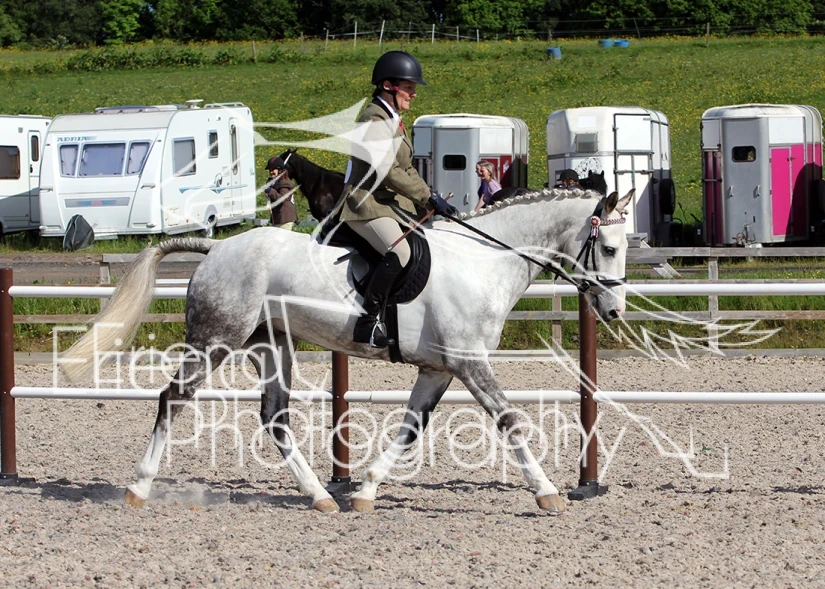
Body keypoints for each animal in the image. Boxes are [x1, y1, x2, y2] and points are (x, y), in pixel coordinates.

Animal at [62, 187, 634, 514]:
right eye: (608, 248)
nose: (614, 311)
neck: (484, 261)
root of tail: (218, 246)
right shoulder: (470, 363)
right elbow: (510, 420)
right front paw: (548, 493)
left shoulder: (438, 369)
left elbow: (410, 429)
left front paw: (364, 492)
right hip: (215, 339)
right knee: (173, 400)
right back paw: (138, 489)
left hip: (272, 345)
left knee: (275, 417)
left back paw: (321, 498)